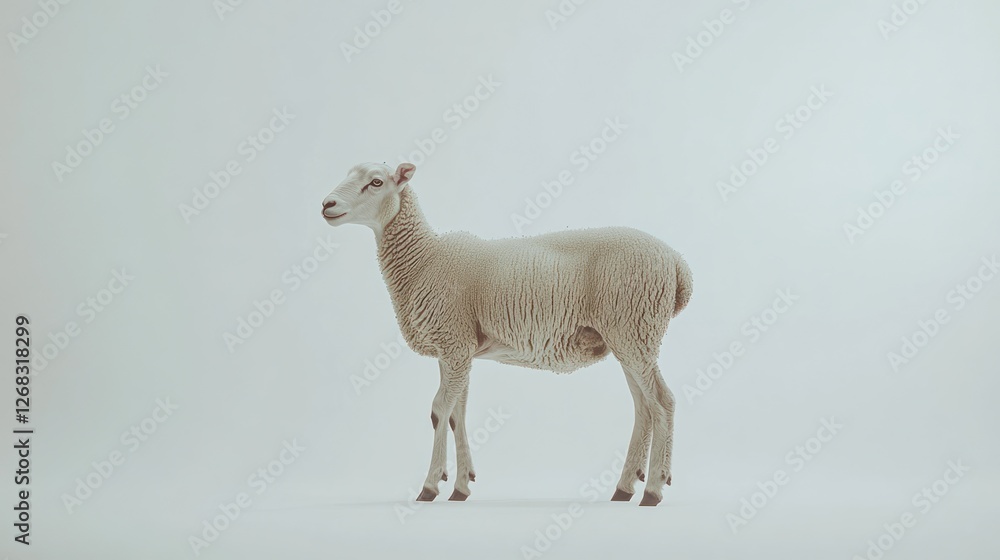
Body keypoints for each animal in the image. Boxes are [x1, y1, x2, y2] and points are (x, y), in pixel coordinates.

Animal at [321, 162, 693, 506]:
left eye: (376, 182)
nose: (326, 204)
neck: (425, 260)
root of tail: (677, 263)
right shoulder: (457, 350)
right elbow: (456, 414)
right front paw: (461, 486)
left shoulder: (453, 343)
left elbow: (439, 410)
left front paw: (430, 486)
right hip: (630, 336)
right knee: (644, 407)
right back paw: (625, 488)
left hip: (635, 328)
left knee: (663, 402)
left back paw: (654, 489)